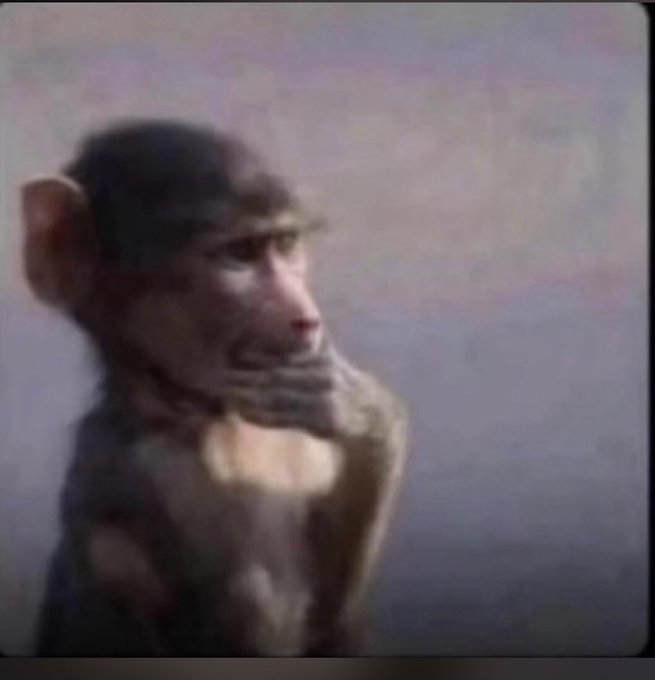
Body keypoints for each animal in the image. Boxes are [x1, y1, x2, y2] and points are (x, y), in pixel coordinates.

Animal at [20, 120, 408, 656]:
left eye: (286, 242)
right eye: (237, 257)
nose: (304, 318)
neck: (206, 416)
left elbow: (336, 627)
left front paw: (359, 408)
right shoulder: (149, 476)